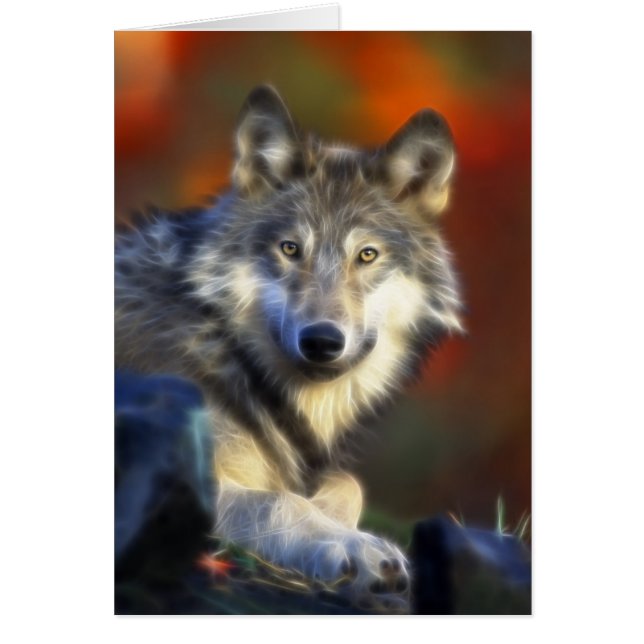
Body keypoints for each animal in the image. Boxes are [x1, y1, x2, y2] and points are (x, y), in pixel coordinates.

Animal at [115, 85, 462, 610]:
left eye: (367, 255)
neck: (227, 348)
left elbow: (346, 482)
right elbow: (276, 500)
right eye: (290, 249)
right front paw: (355, 549)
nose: (321, 340)